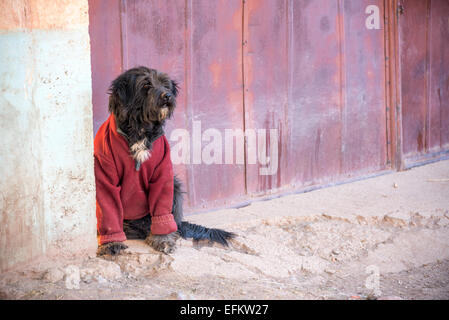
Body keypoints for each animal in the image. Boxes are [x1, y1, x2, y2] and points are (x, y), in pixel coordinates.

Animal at [96, 67, 236, 255]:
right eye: (146, 84)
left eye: (165, 84)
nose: (168, 96)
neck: (140, 129)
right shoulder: (104, 176)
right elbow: (108, 210)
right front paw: (110, 243)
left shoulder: (163, 174)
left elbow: (161, 207)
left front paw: (162, 239)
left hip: (175, 187)